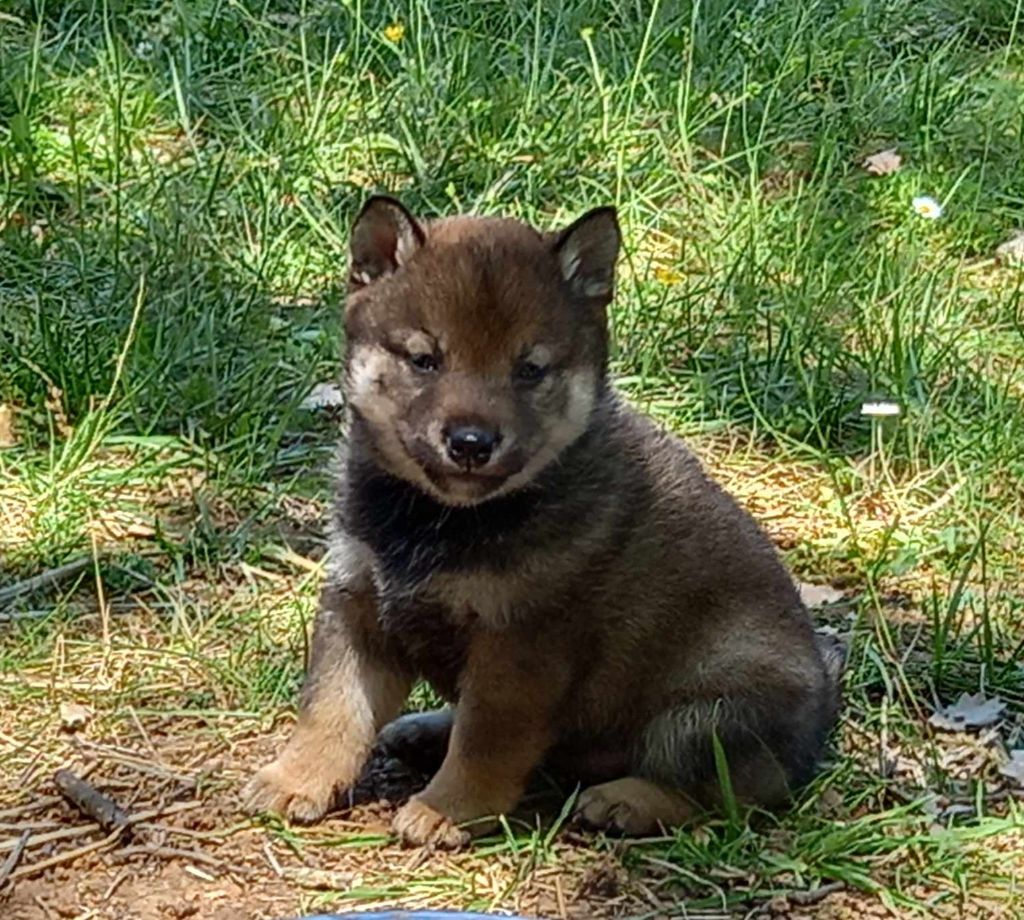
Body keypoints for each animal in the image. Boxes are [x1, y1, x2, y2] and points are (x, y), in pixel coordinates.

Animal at [243, 195, 843, 844]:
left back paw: (627, 799)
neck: (441, 519)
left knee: (726, 793)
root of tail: (822, 716)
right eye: (425, 360)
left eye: (529, 370)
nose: (471, 443)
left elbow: (485, 741)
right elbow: (331, 707)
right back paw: (424, 730)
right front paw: (296, 777)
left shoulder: (521, 642)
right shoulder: (357, 599)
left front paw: (449, 809)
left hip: (711, 710)